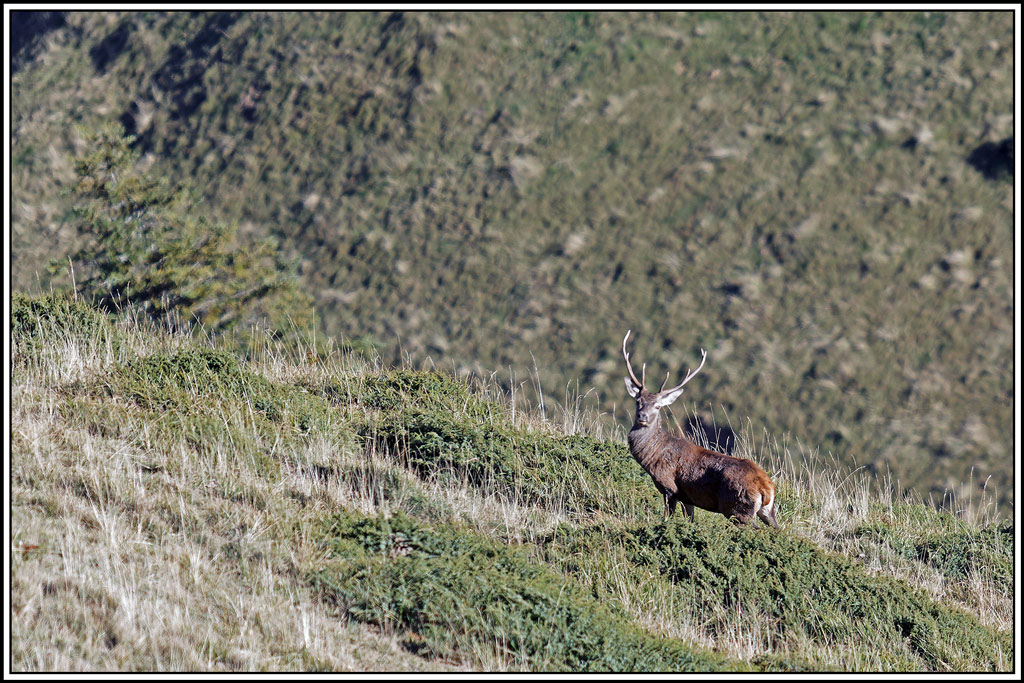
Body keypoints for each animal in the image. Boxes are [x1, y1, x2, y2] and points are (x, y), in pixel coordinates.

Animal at [621, 330, 778, 528]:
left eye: (657, 406)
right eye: (638, 401)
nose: (642, 416)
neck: (653, 456)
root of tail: (767, 488)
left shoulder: (670, 487)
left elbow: (667, 517)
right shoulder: (687, 498)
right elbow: (690, 520)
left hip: (738, 508)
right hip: (767, 512)